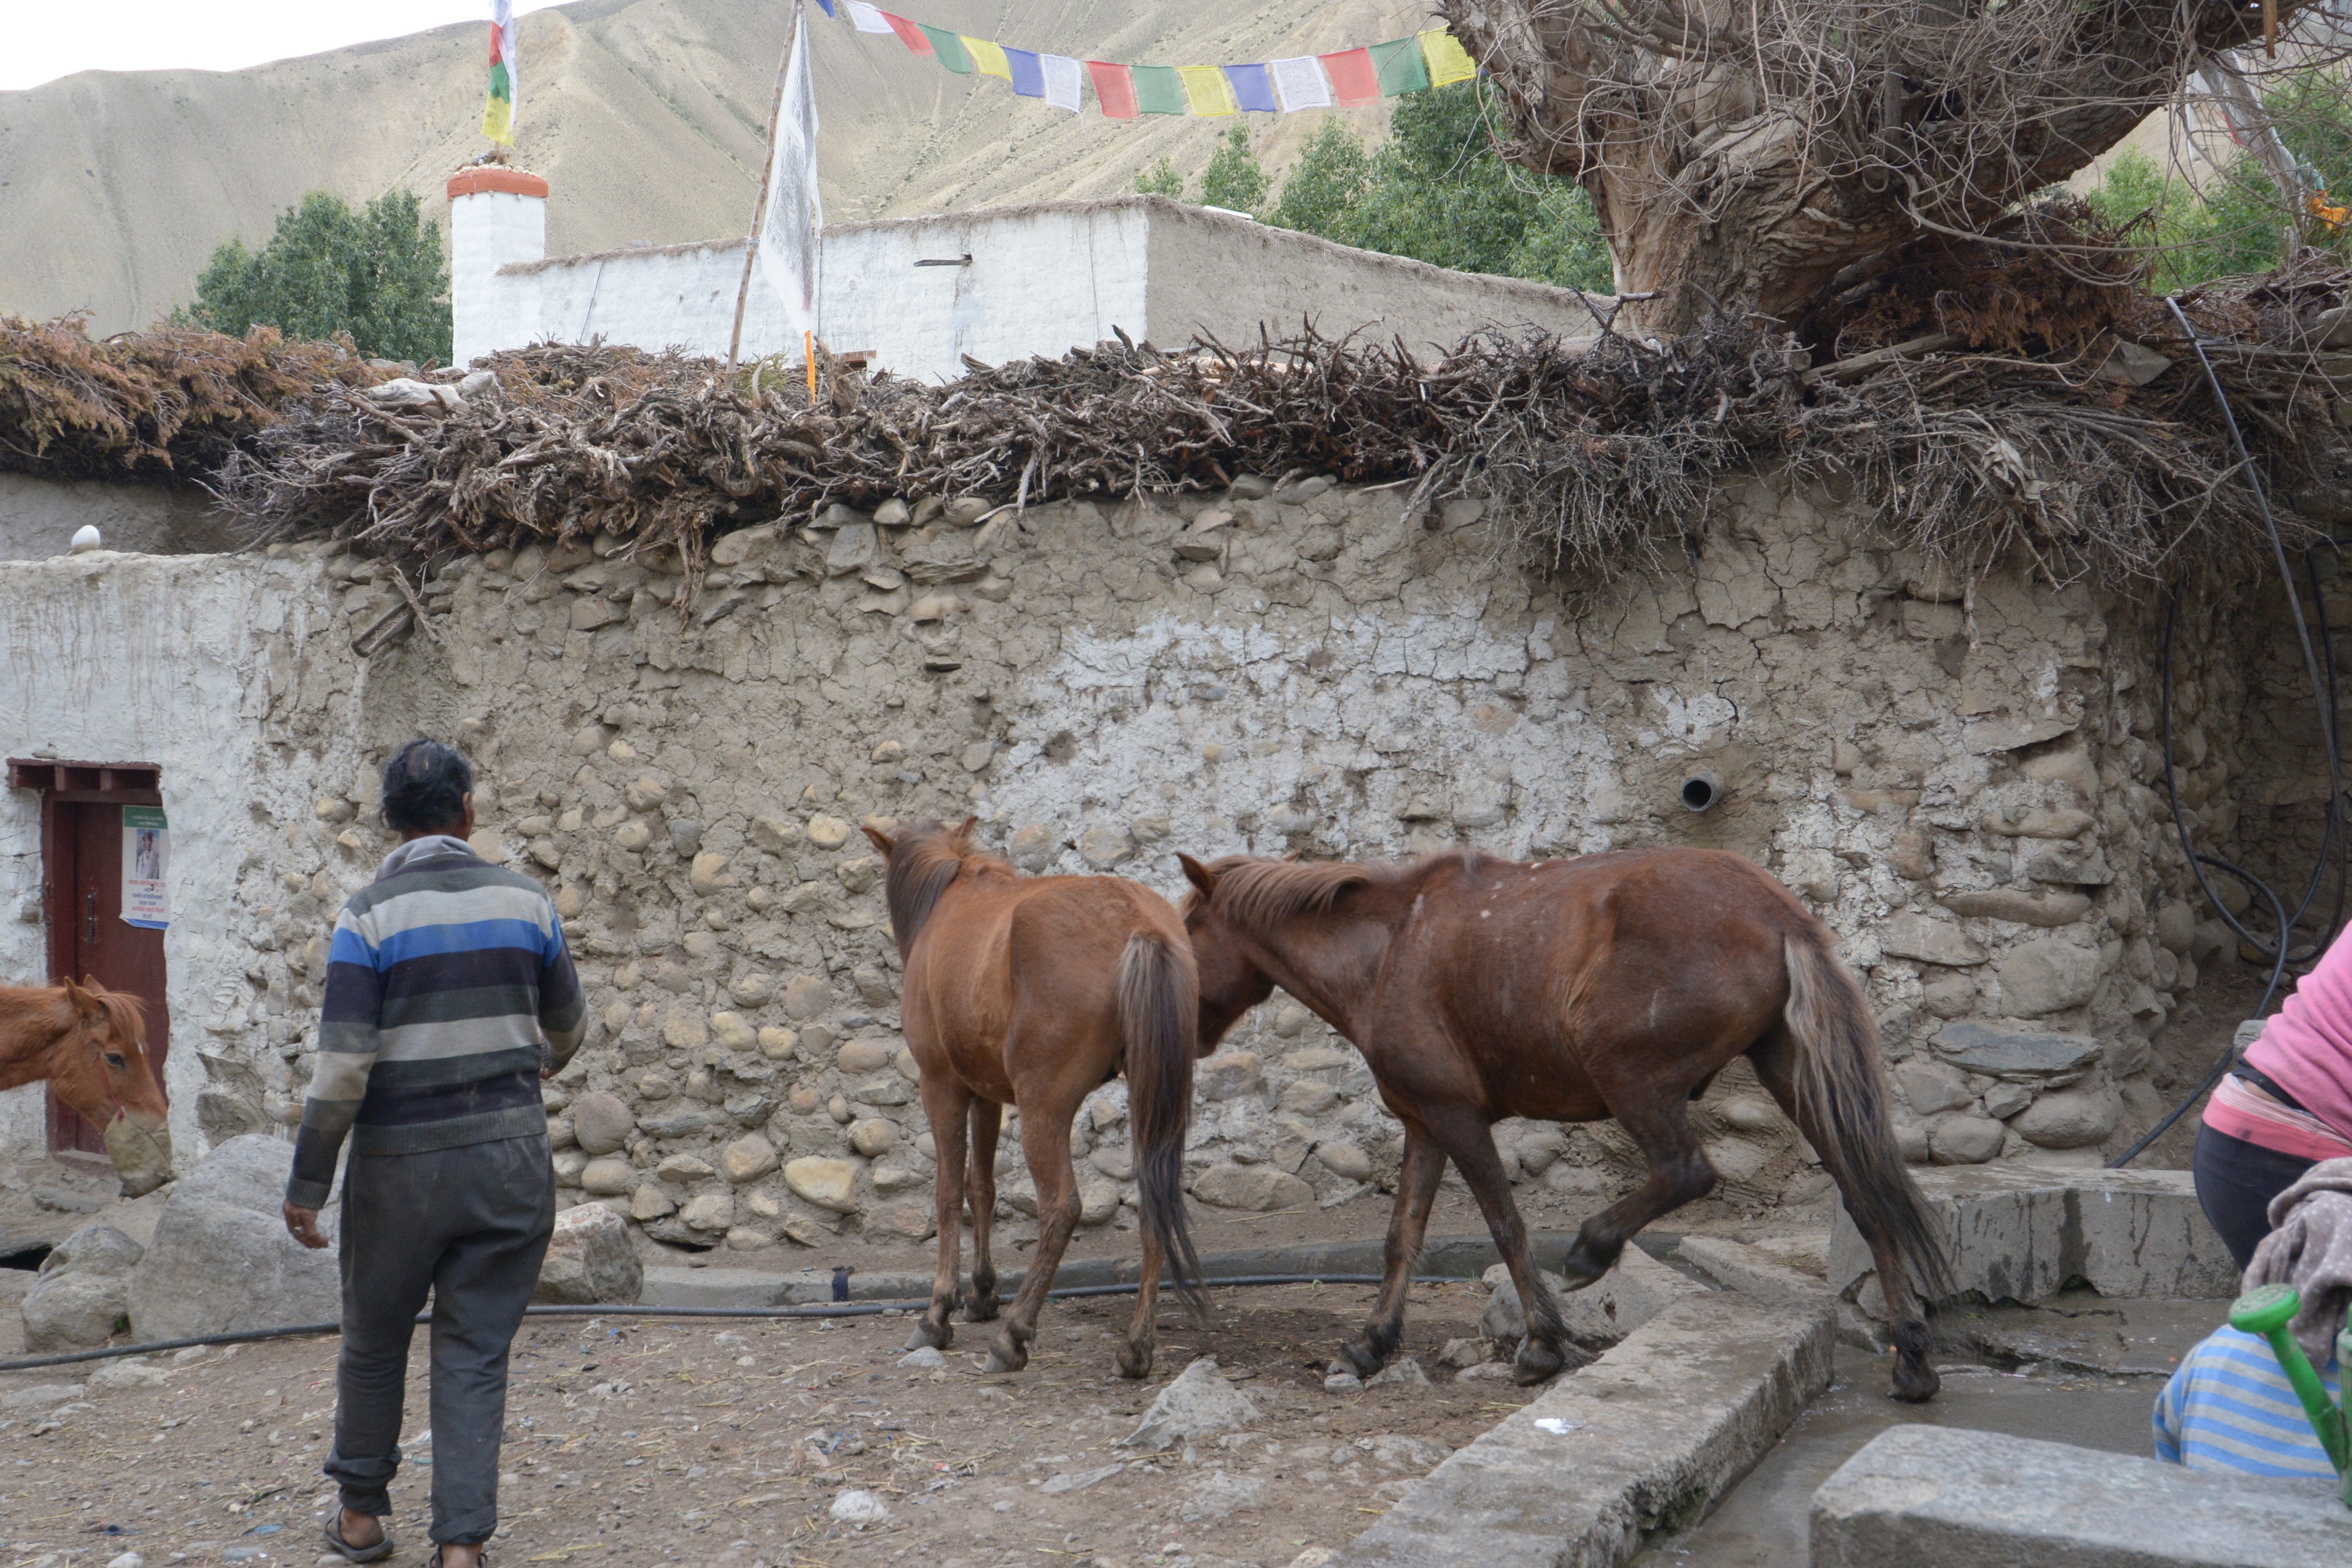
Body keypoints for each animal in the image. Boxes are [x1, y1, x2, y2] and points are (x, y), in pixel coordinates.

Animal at [862, 818, 1205, 1377]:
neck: (949, 896)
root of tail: (1139, 925)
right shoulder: (986, 1094)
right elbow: (981, 1188)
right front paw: (981, 1293)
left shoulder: (942, 1084)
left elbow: (947, 1192)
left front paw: (938, 1314)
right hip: (1152, 1101)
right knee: (1155, 1198)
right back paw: (1136, 1347)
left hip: (1044, 1105)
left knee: (1061, 1207)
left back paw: (1014, 1335)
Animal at [1176, 844, 1951, 1403]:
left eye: (1186, 928)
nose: (1186, 1031)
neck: (1388, 946)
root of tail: (1781, 914)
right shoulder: (1424, 1126)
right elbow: (1402, 1239)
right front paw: (1370, 1345)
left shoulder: (1457, 1119)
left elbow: (1505, 1224)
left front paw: (1543, 1344)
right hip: (1792, 1077)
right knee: (1867, 1200)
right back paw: (1912, 1357)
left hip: (1633, 1079)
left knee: (1686, 1172)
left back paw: (1591, 1250)